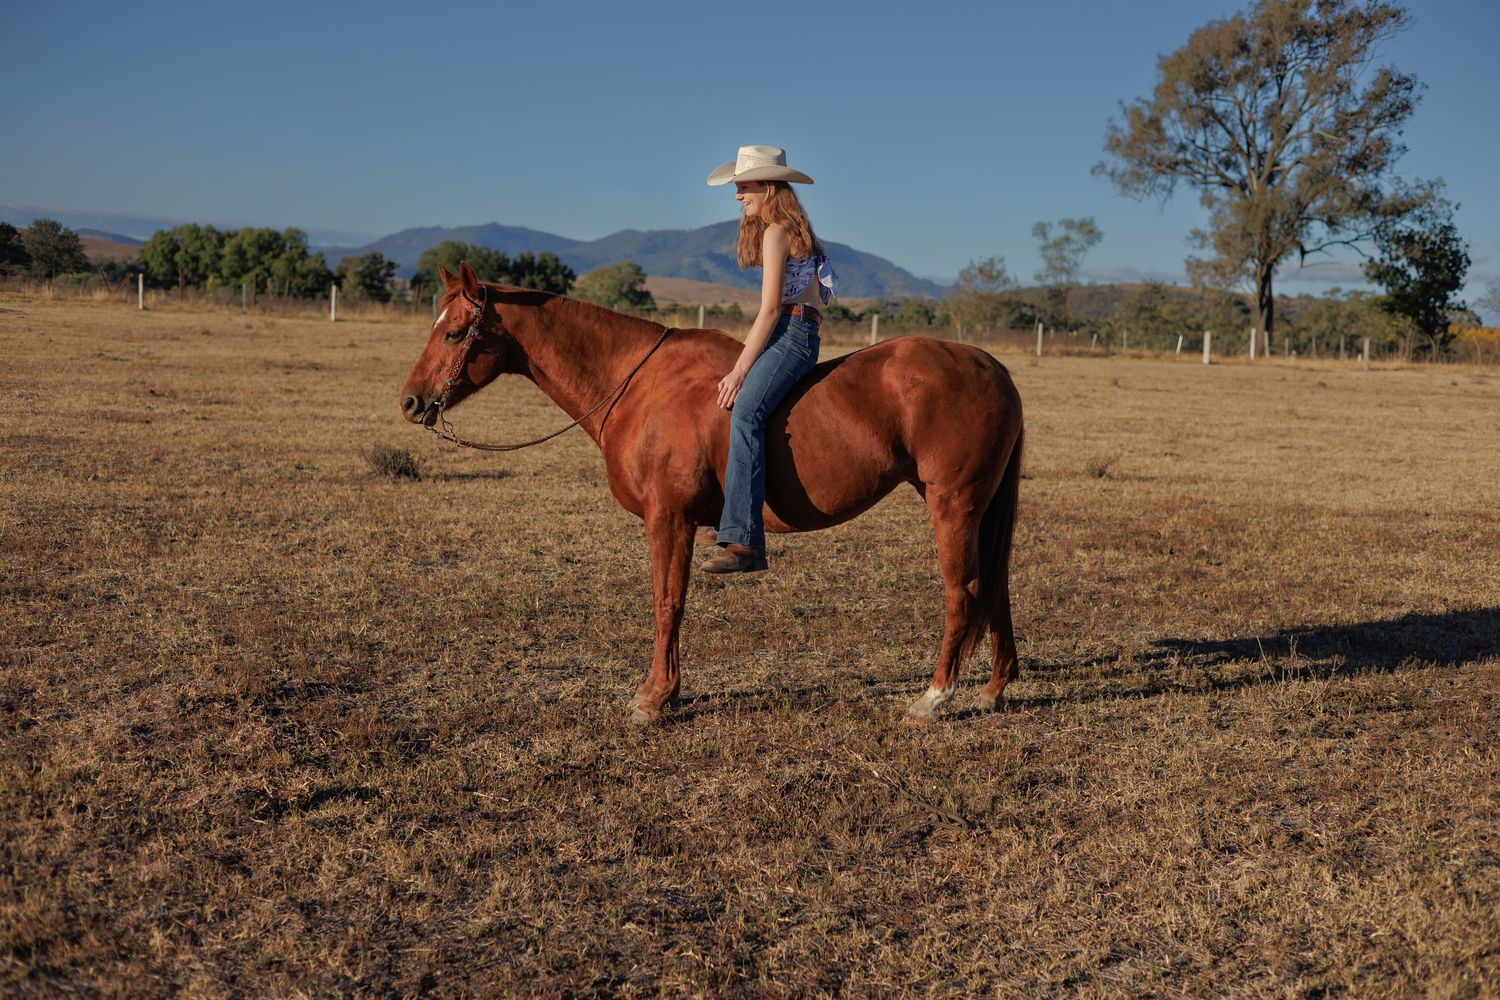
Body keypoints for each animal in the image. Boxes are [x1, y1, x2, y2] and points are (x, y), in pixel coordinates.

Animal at [399, 262, 1024, 725]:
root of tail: (991, 366)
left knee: (964, 590)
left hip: (953, 505)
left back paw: (934, 697)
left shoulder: (668, 519)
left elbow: (667, 603)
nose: (410, 401)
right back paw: (993, 689)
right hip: (979, 508)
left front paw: (655, 697)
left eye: (453, 332)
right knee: (996, 586)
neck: (640, 385)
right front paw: (664, 691)